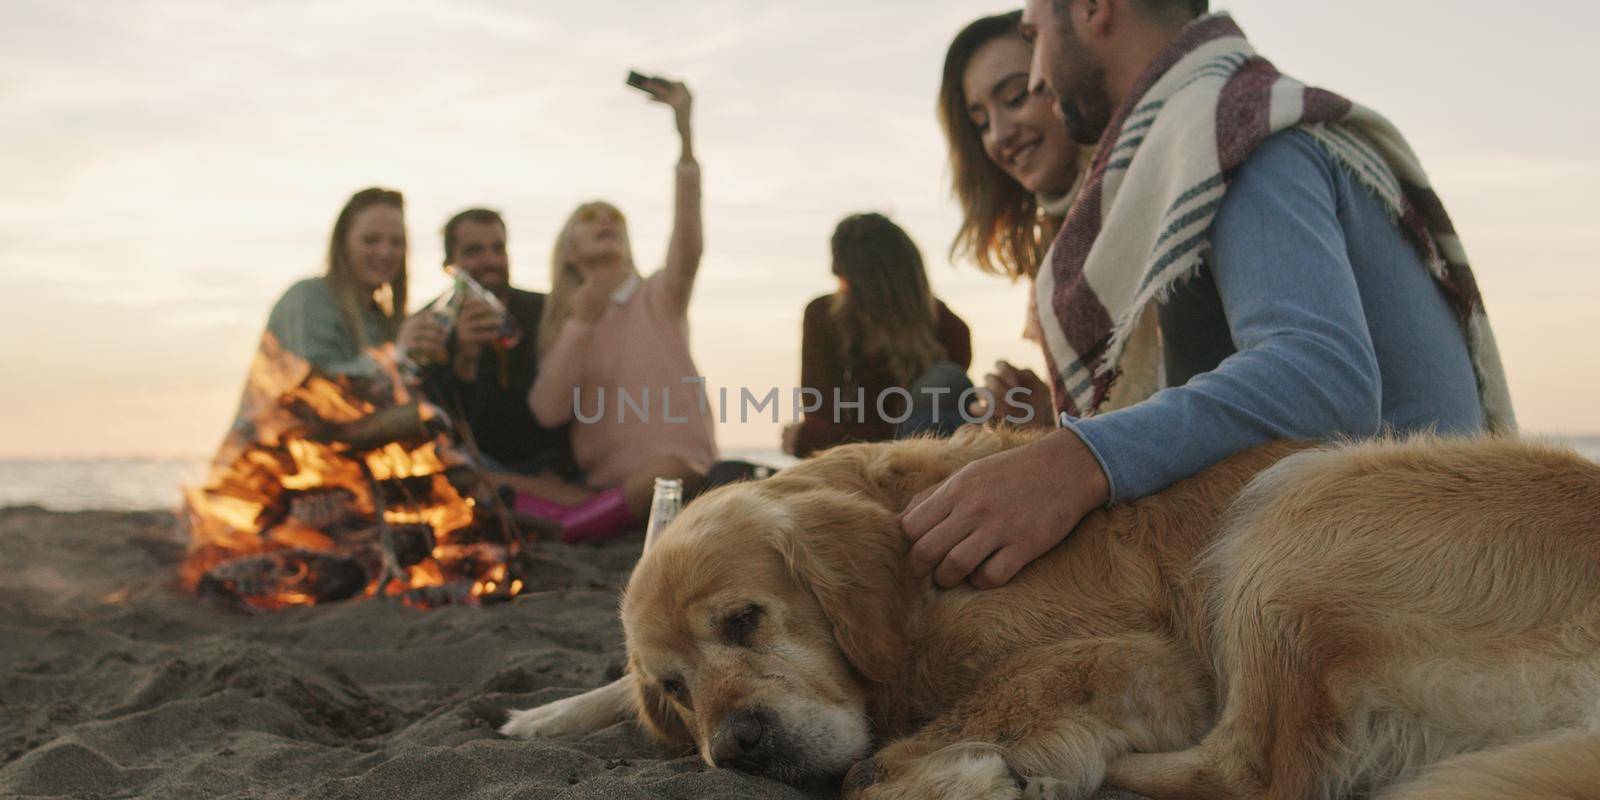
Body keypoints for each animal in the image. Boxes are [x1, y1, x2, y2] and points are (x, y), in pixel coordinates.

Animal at [505, 428, 1600, 796]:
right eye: (673, 689)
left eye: (746, 619)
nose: (736, 747)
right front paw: (540, 714)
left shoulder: (1151, 660)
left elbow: (894, 752)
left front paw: (959, 769)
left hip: (1297, 504)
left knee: (1254, 772)